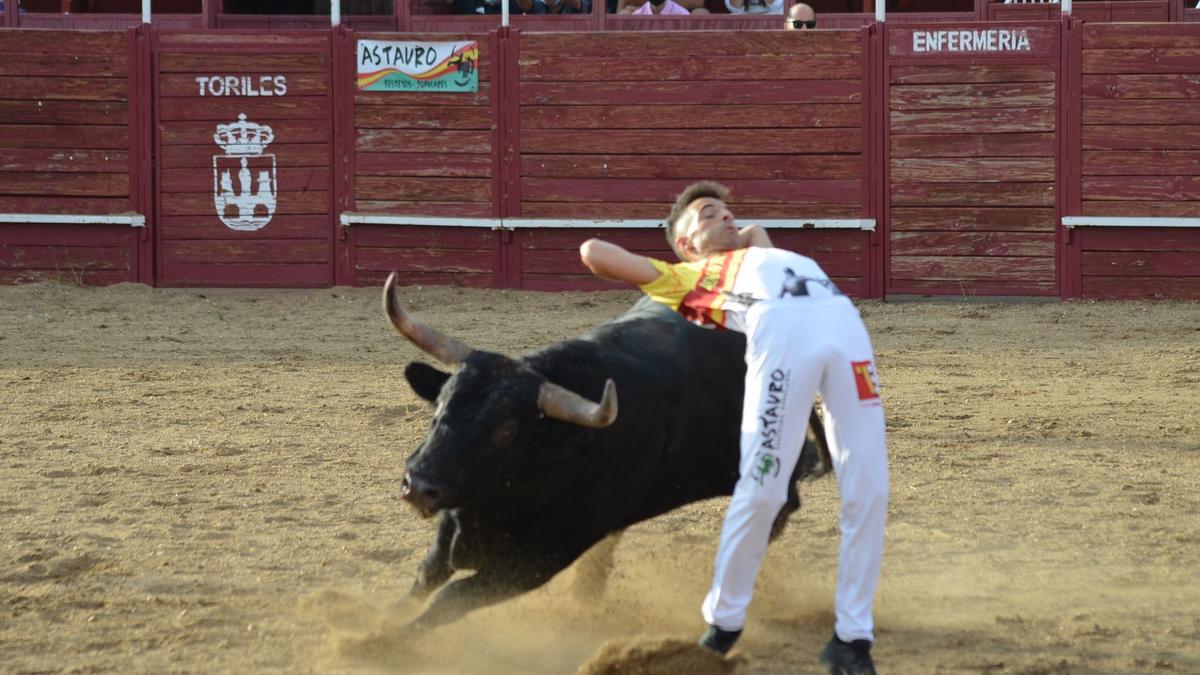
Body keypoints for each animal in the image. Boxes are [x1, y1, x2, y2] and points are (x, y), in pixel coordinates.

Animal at [386, 275, 835, 629]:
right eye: (439, 408)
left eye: (507, 432)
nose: (418, 485)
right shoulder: (455, 521)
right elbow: (426, 577)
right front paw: (381, 627)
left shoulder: (539, 560)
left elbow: (451, 598)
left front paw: (385, 645)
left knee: (779, 509)